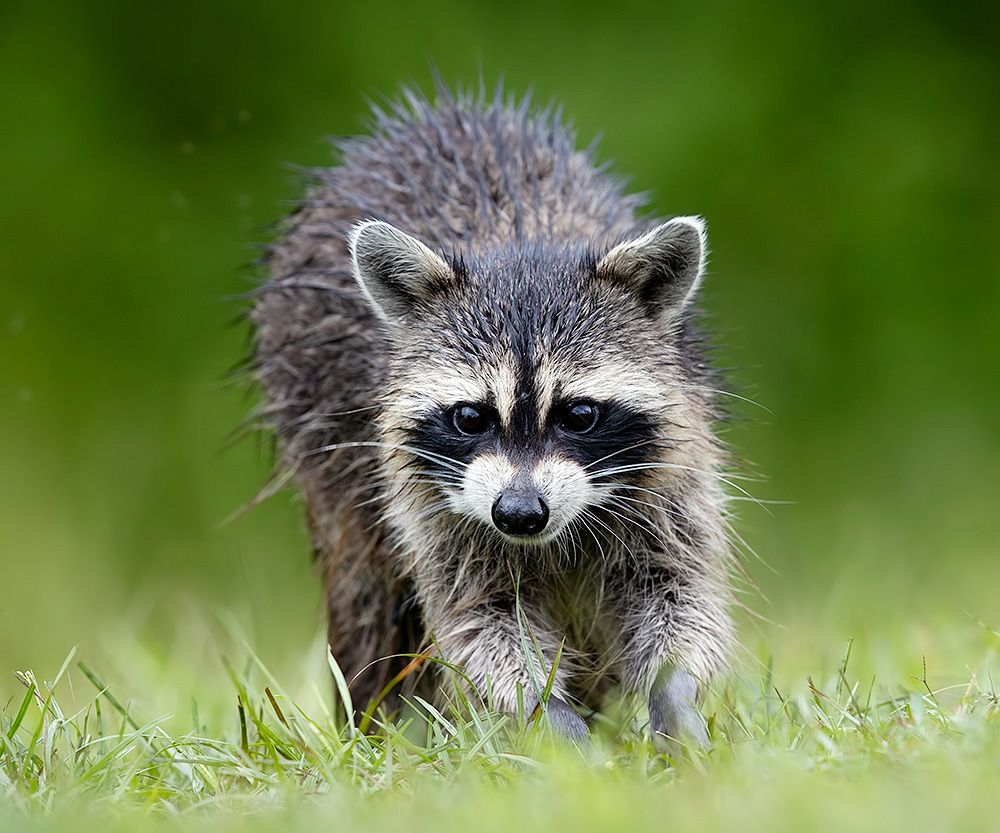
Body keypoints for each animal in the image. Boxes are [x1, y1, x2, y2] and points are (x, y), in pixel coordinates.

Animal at [252, 84, 734, 742]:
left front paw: (673, 692)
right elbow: (482, 619)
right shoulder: (428, 504)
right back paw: (379, 720)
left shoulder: (673, 473)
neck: (518, 249)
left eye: (579, 414)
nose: (520, 514)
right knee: (369, 593)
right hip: (323, 444)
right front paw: (549, 716)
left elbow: (676, 592)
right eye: (470, 417)